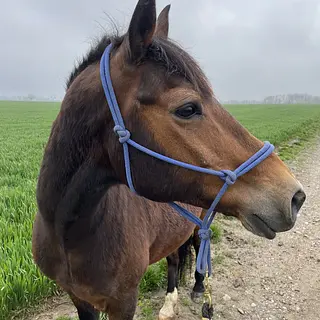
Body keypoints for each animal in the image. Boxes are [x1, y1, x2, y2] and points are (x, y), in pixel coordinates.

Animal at [31, 1, 306, 318]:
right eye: (187, 108)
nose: (295, 196)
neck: (69, 233)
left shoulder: (124, 301)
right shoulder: (80, 299)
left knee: (196, 248)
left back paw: (197, 289)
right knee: (174, 258)